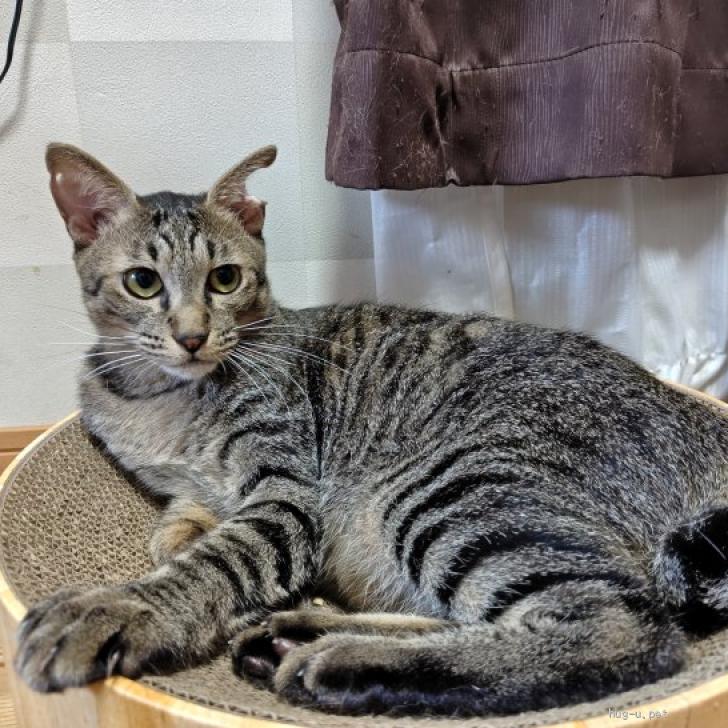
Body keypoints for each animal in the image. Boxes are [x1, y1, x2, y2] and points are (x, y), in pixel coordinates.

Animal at [14, 142, 728, 717]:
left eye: (225, 278)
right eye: (142, 282)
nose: (192, 336)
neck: (163, 400)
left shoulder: (286, 495)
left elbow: (217, 561)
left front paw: (125, 606)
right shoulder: (194, 489)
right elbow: (187, 531)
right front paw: (182, 546)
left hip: (447, 490)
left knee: (622, 626)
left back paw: (339, 660)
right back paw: (297, 635)